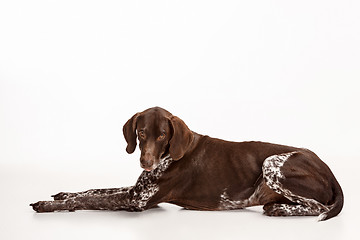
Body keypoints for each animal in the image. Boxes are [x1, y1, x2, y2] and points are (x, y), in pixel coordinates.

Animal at [31, 107, 344, 221]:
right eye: (141, 133)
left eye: (162, 135)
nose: (146, 163)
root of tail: (330, 171)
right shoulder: (136, 190)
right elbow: (93, 191)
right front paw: (62, 194)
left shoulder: (137, 200)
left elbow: (90, 200)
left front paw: (48, 205)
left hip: (271, 163)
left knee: (318, 207)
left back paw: (279, 209)